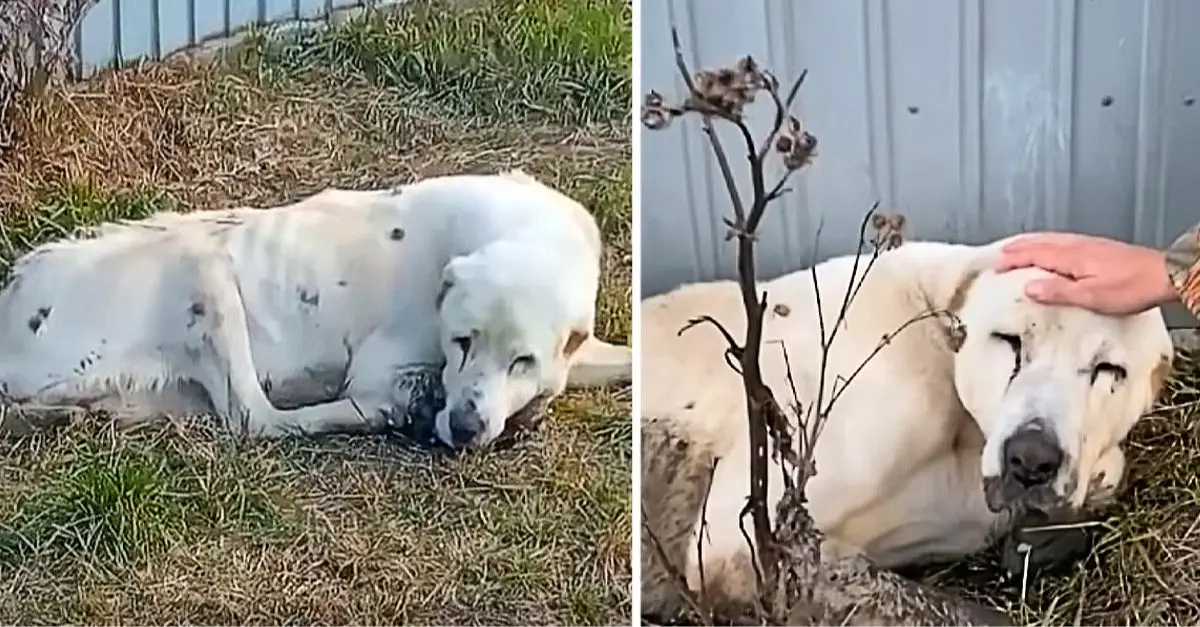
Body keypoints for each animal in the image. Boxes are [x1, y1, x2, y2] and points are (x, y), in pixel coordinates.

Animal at [0, 168, 638, 446]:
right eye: (462, 342)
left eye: (522, 360)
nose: (464, 427)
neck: (531, 231)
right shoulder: (384, 369)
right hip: (201, 263)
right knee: (255, 418)